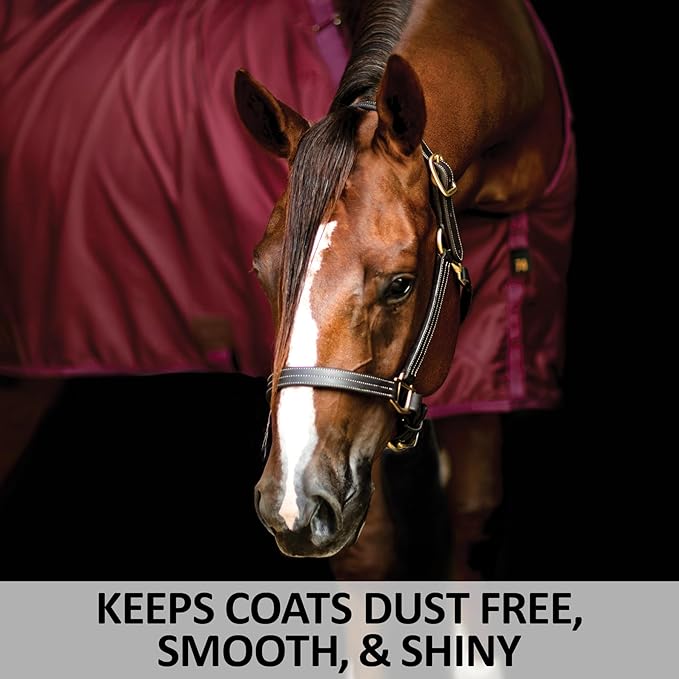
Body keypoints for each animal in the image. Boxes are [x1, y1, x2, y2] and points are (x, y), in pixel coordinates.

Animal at [234, 0, 573, 567]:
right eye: (262, 274)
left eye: (400, 284)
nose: (292, 503)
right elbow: (369, 549)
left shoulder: (485, 367)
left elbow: (471, 519)